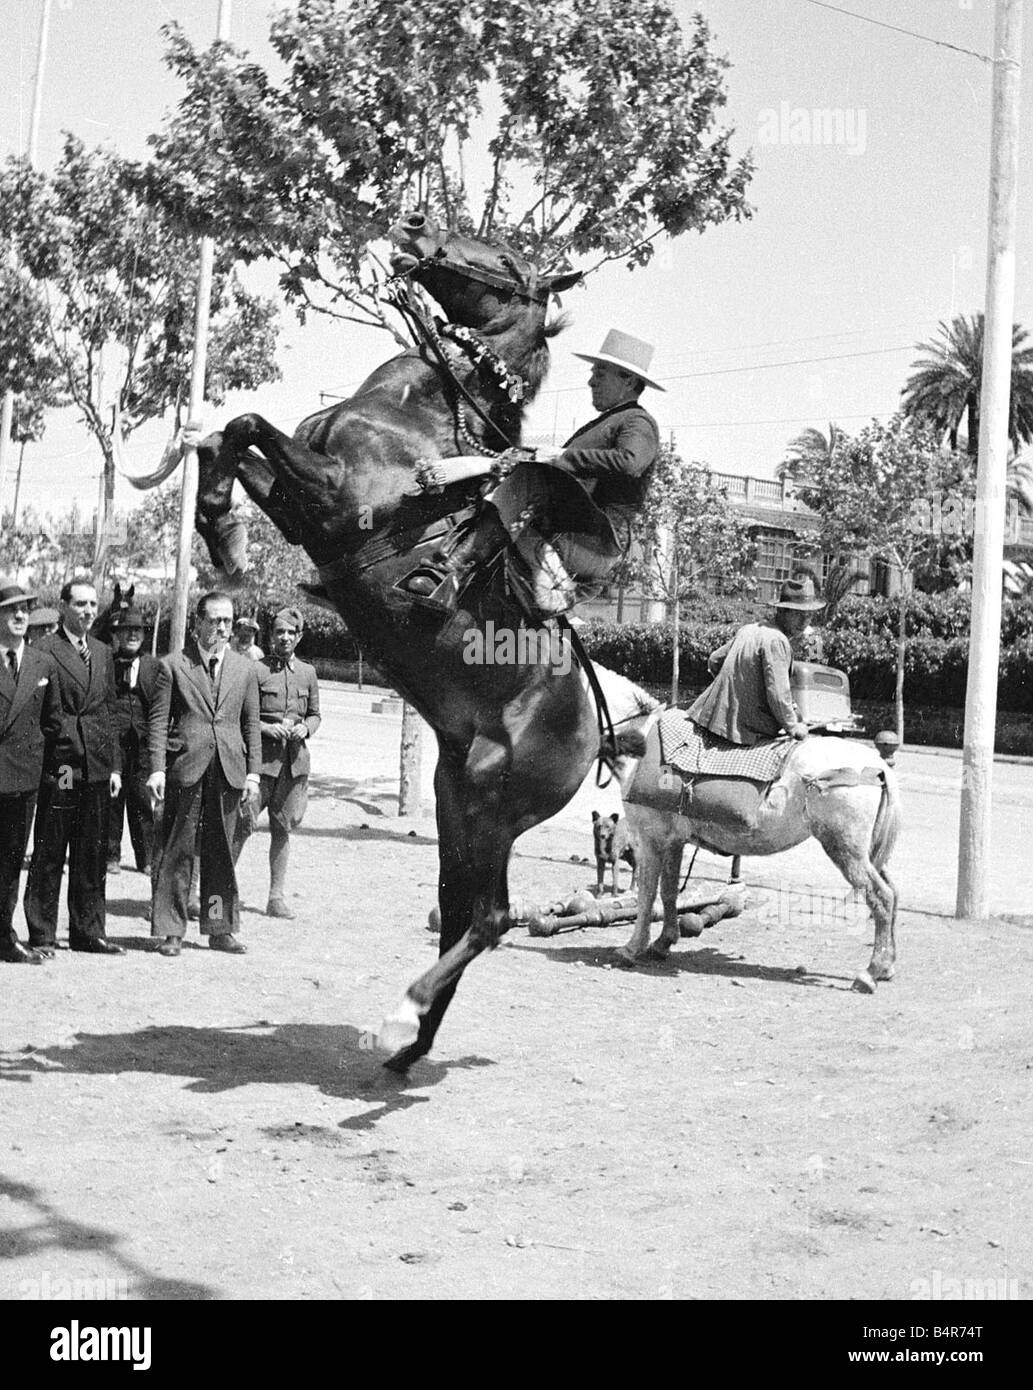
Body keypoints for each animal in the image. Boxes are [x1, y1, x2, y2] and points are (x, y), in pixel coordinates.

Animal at [194, 211, 645, 1067]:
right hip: (454, 803)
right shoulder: (304, 511)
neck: (422, 408)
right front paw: (220, 529)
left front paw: (224, 542)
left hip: (494, 809)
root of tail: (598, 736)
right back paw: (407, 1049)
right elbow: (233, 432)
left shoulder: (336, 499)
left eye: (504, 258)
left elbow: (248, 424)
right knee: (461, 912)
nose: (413, 226)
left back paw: (400, 1015)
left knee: (492, 918)